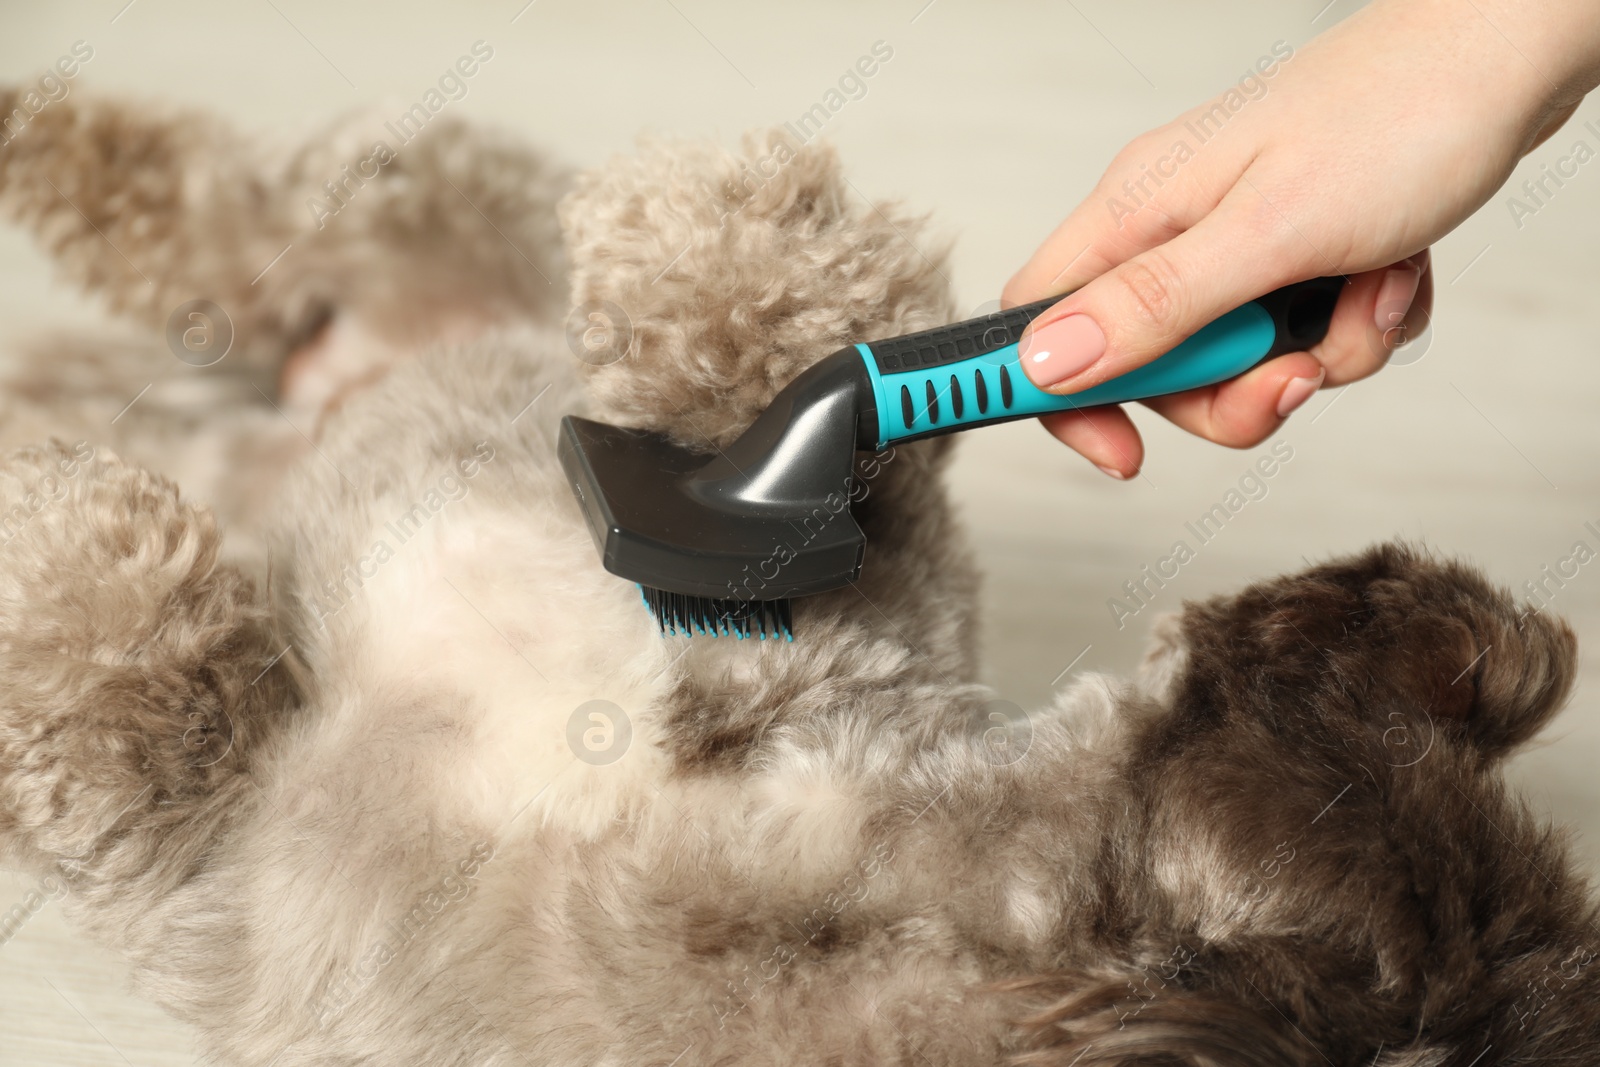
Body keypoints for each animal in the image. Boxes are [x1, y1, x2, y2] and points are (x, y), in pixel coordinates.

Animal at [3, 87, 1600, 1062]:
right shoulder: (829, 602)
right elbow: (789, 358)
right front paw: (737, 250)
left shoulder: (230, 842)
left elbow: (136, 689)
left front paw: (47, 535)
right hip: (389, 214)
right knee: (223, 207)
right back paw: (52, 136)